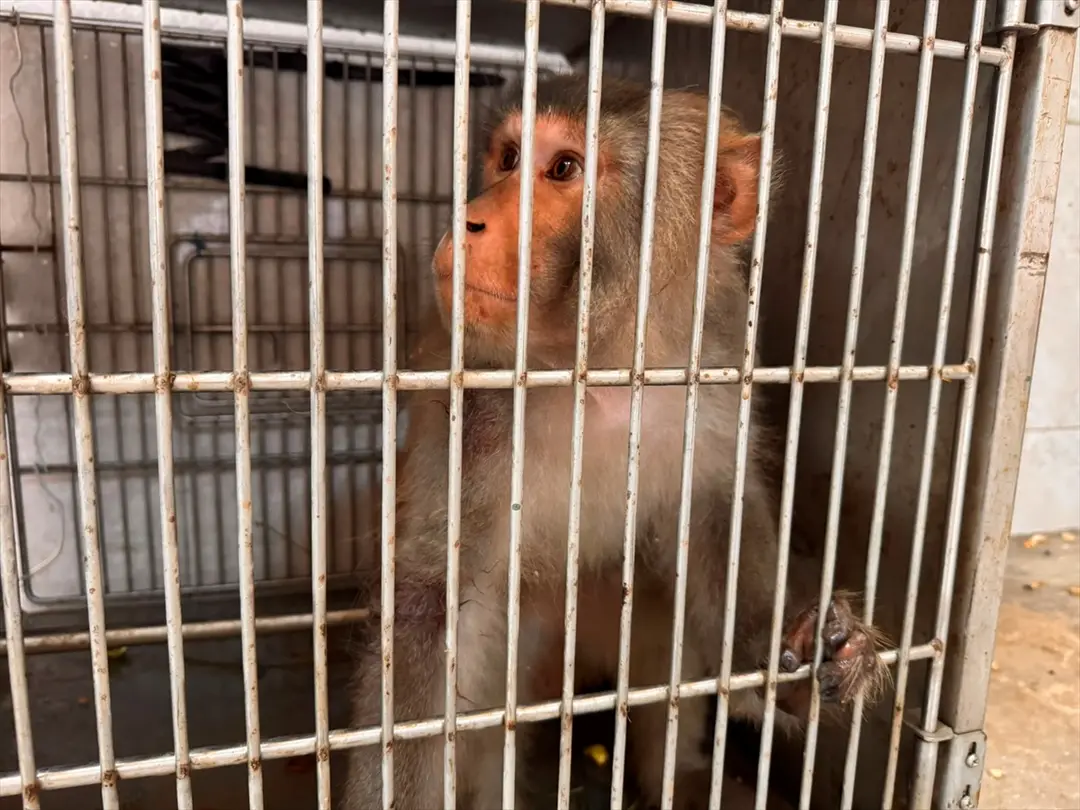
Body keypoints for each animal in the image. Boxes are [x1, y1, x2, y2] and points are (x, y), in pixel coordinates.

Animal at [340, 74, 889, 810]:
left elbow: (719, 522)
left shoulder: (714, 381)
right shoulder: (476, 413)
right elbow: (430, 606)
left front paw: (803, 655)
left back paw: (675, 775)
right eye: (509, 159)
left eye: (563, 168)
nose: (469, 219)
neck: (603, 367)